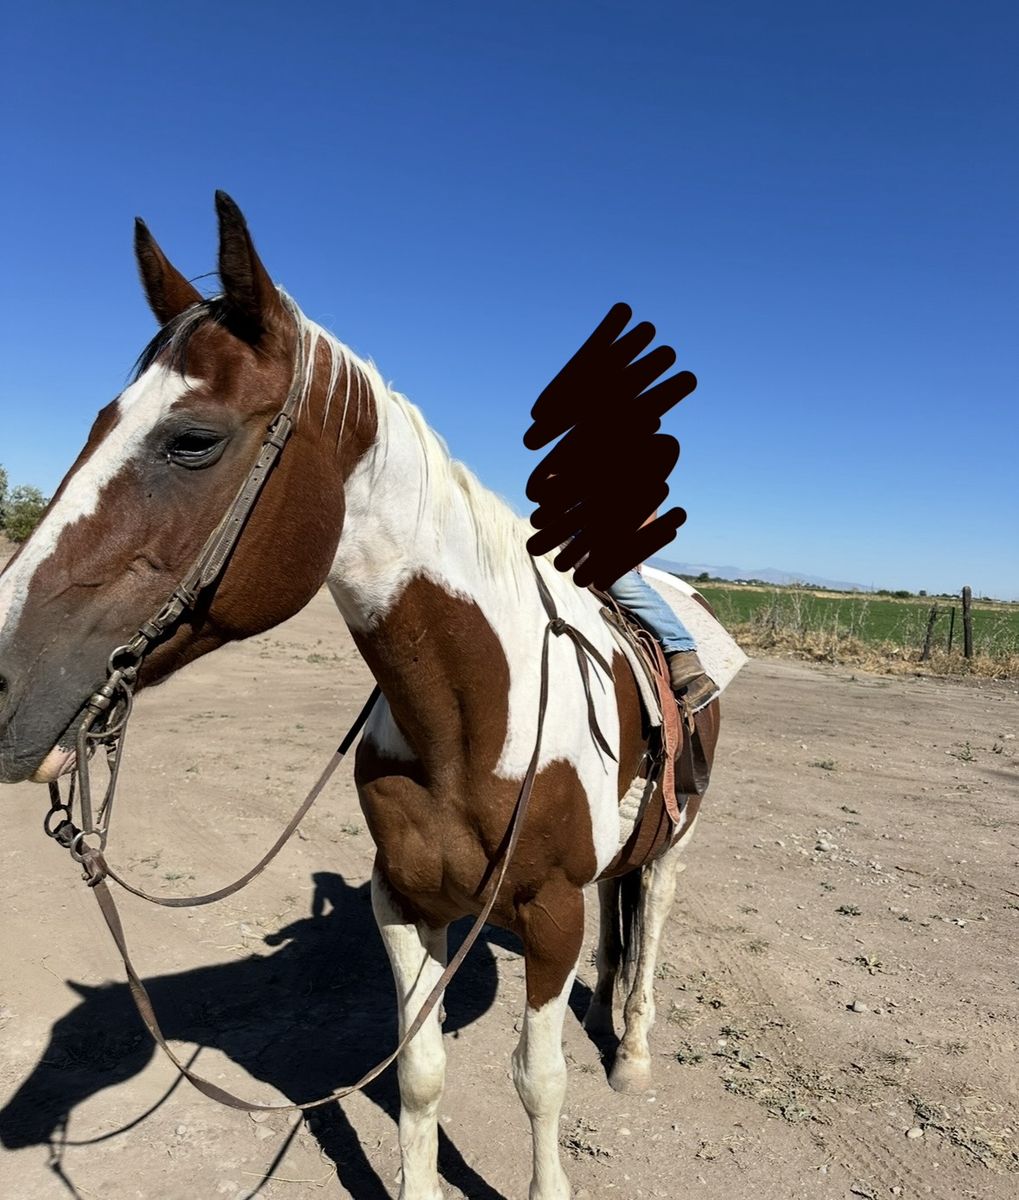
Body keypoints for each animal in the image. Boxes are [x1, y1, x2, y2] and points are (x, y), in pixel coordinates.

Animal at [0, 192, 722, 1200]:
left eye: (193, 440)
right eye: (99, 420)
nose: (3, 682)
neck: (474, 720)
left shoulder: (551, 916)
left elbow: (538, 1080)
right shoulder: (404, 900)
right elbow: (418, 1074)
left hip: (674, 845)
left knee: (649, 923)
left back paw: (633, 1056)